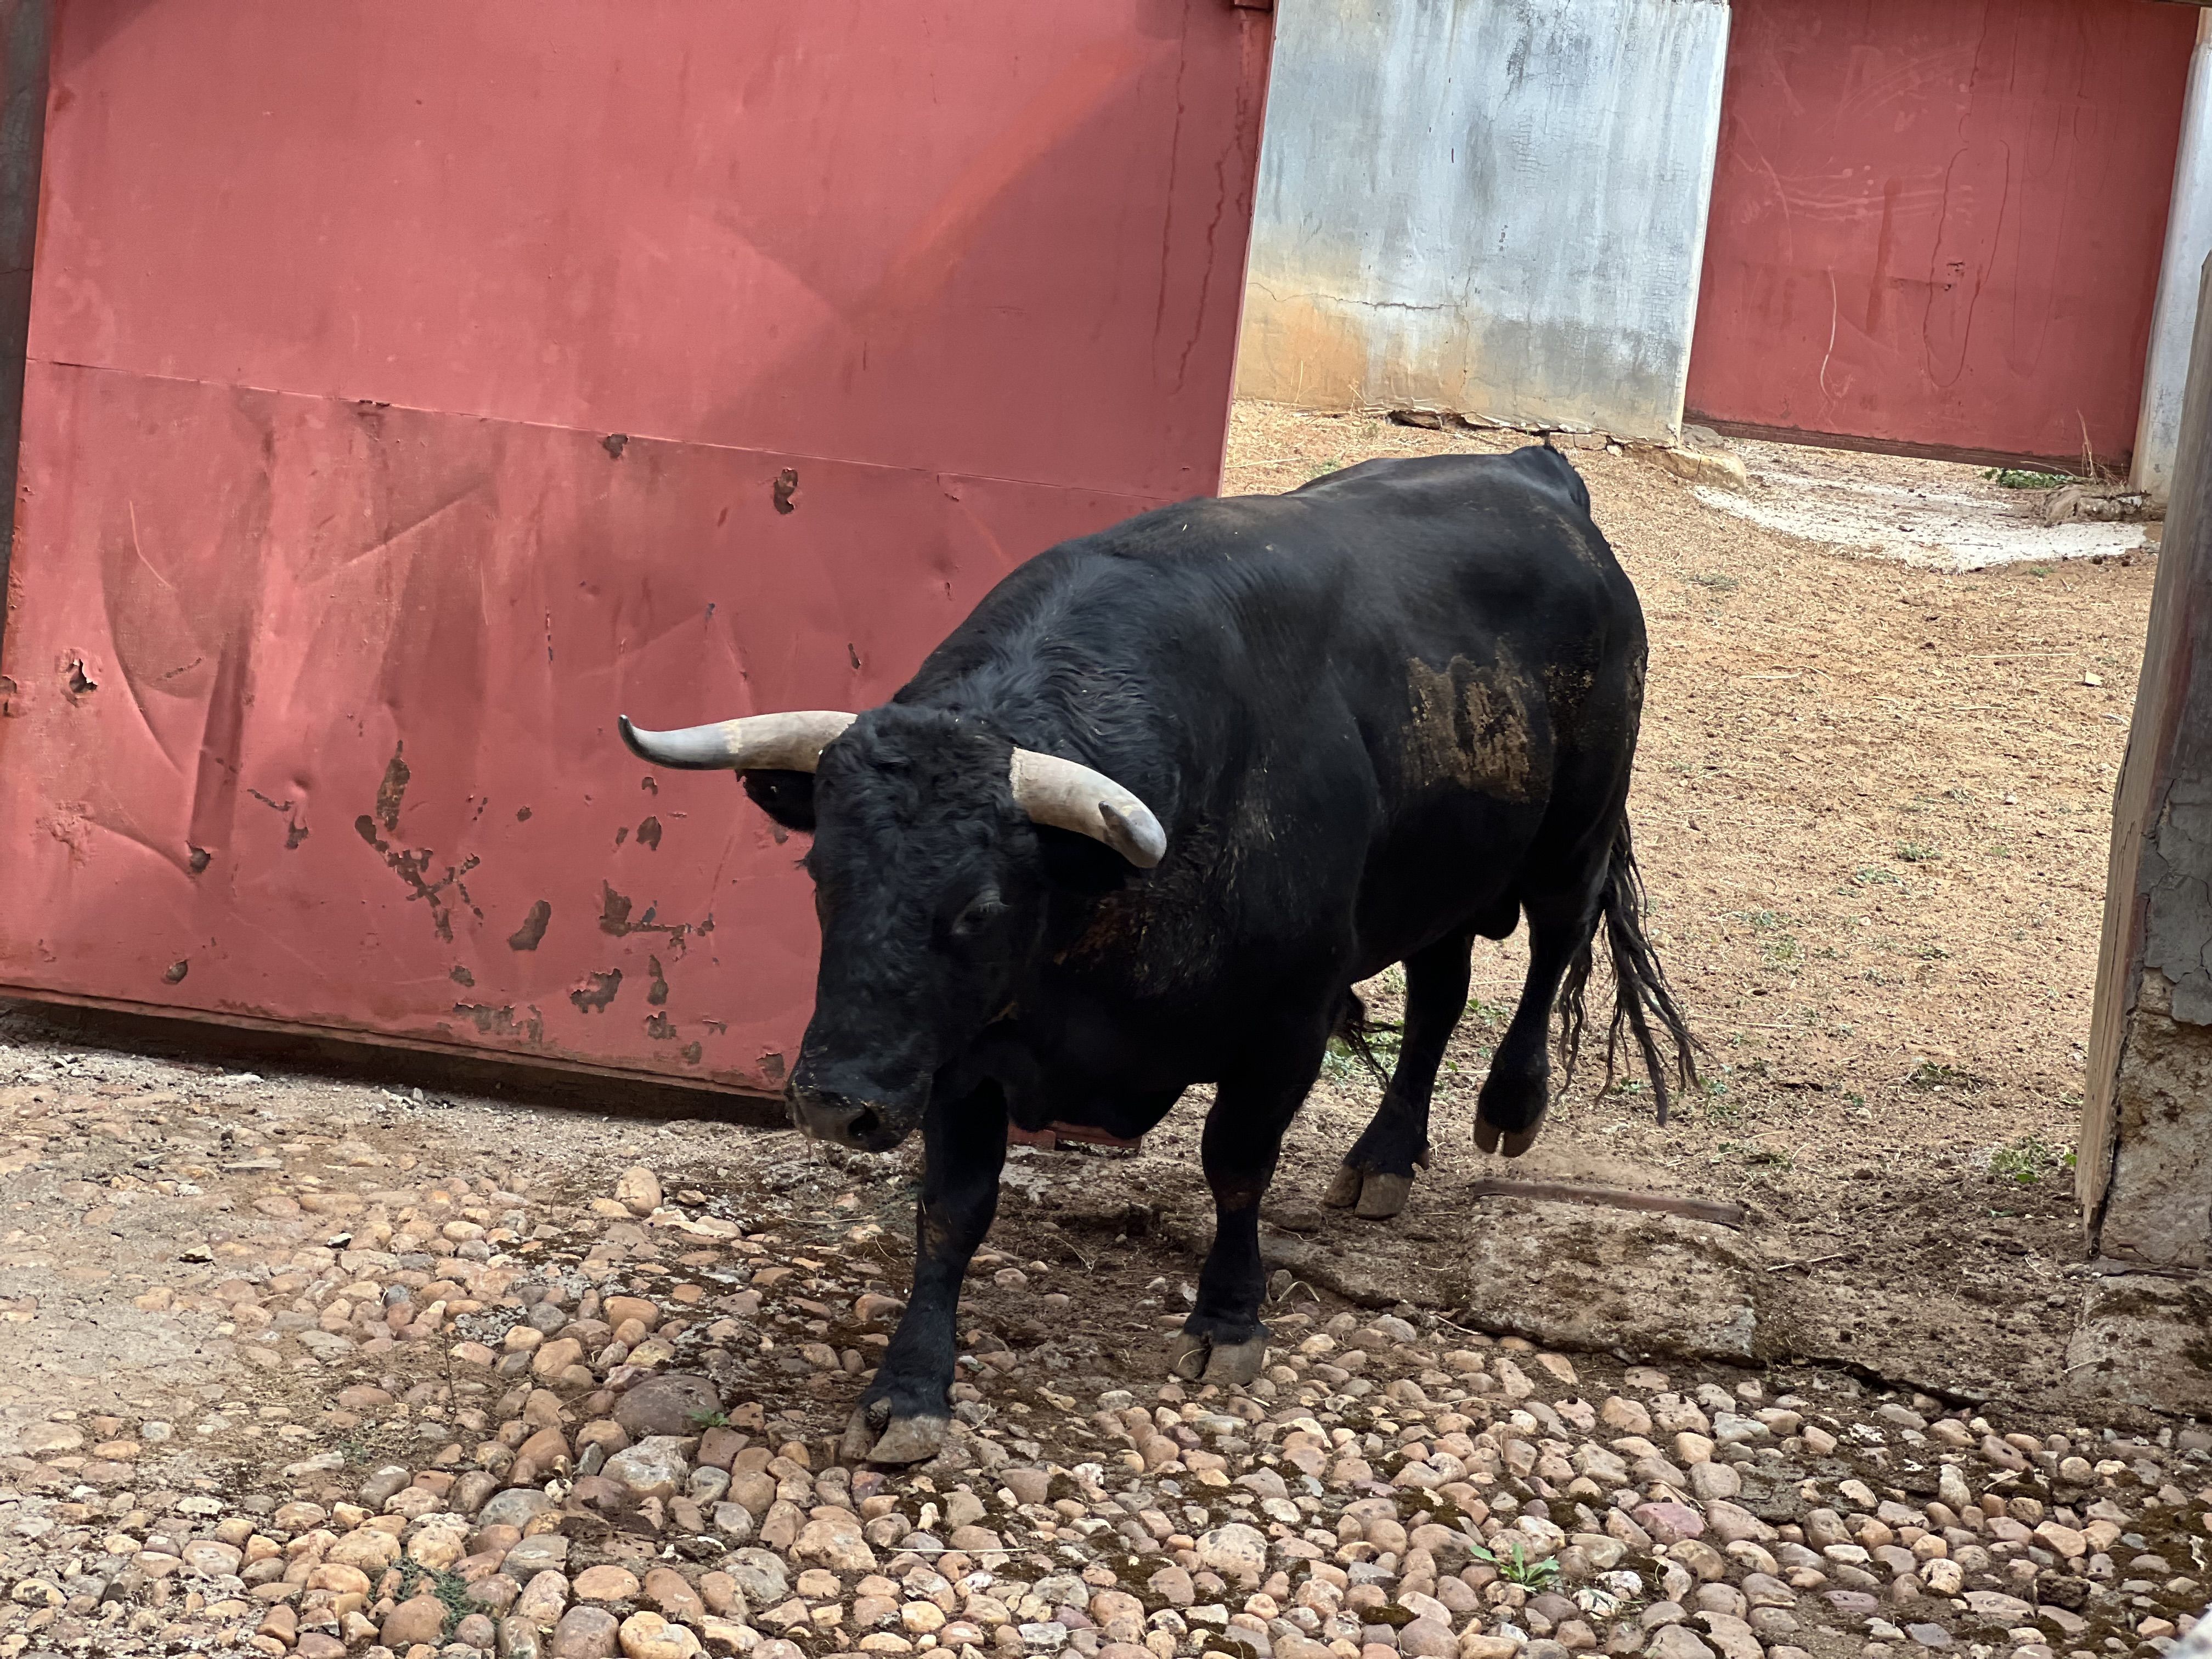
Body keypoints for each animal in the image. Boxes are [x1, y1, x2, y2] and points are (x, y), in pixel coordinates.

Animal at [624, 451, 1690, 1469]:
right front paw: (910, 1388)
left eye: (979, 905)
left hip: (1574, 833)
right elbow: (952, 1209)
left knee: (1551, 949)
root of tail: (1538, 474)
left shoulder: (1286, 1030)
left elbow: (1237, 1167)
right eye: (821, 874)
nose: (835, 1103)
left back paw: (1507, 1105)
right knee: (1438, 997)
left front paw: (1228, 1321)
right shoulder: (965, 1054)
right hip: (1438, 883)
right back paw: (1382, 1158)